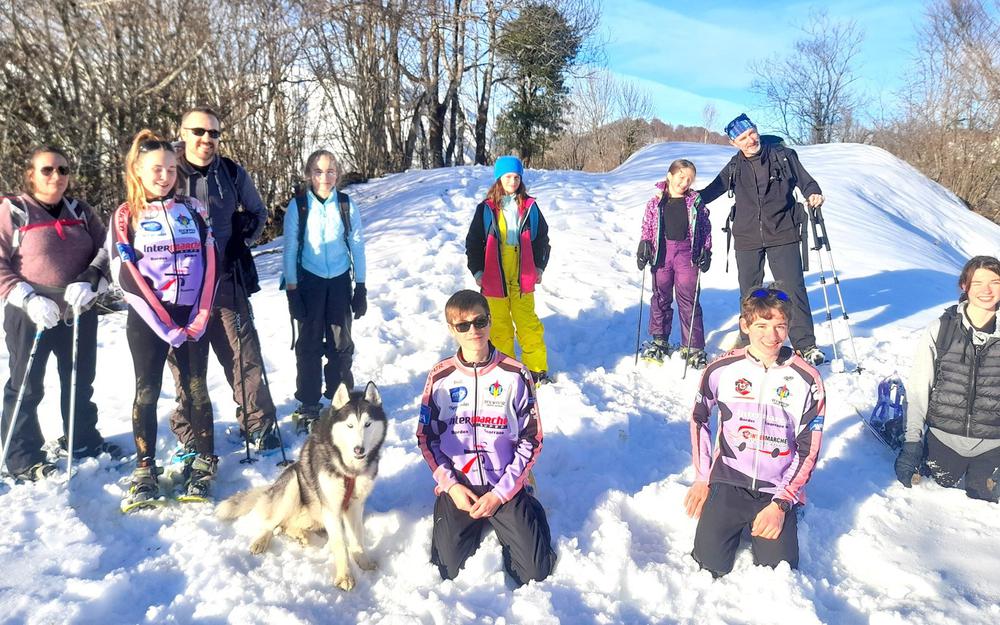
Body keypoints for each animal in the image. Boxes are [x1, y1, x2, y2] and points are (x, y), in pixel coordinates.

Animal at [218, 380, 386, 588]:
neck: (349, 470)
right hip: (292, 485)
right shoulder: (331, 507)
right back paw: (262, 541)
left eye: (368, 424)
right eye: (350, 425)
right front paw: (344, 576)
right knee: (270, 524)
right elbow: (340, 544)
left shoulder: (355, 505)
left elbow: (357, 540)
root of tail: (272, 486)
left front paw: (364, 562)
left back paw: (300, 535)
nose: (359, 449)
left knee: (284, 526)